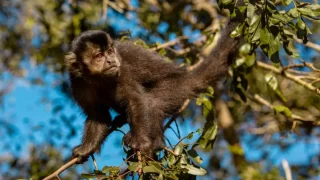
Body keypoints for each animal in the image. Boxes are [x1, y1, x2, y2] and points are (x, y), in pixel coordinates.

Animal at [65, 16, 242, 163]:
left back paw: (154, 142)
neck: (99, 78)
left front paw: (141, 142)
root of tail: (187, 76)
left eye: (109, 52)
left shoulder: (122, 73)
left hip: (176, 87)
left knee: (152, 102)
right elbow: (98, 114)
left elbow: (136, 101)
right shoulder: (78, 81)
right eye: (99, 56)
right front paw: (86, 148)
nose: (110, 61)